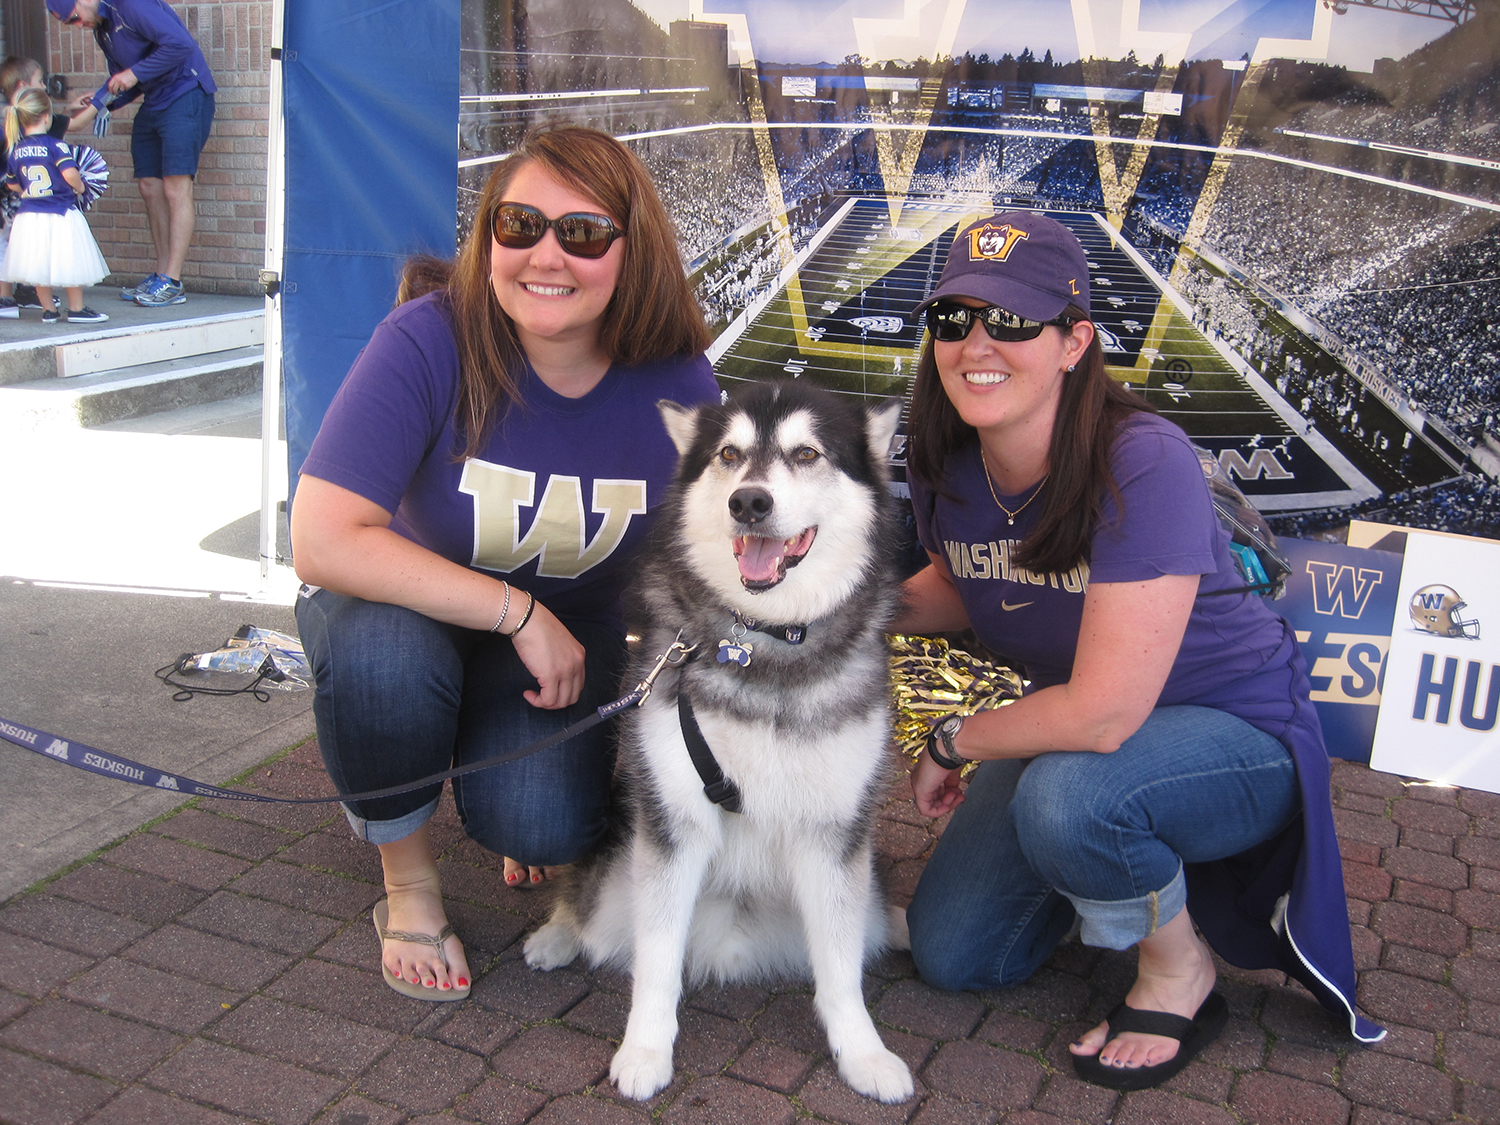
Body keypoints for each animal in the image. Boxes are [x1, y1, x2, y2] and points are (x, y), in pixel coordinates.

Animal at [528, 384, 912, 1104]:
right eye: (729, 455)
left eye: (806, 453)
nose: (749, 502)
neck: (765, 644)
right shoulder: (672, 822)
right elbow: (656, 958)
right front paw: (646, 1050)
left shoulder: (834, 832)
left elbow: (842, 966)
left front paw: (864, 1053)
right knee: (588, 900)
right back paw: (556, 936)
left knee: (871, 920)